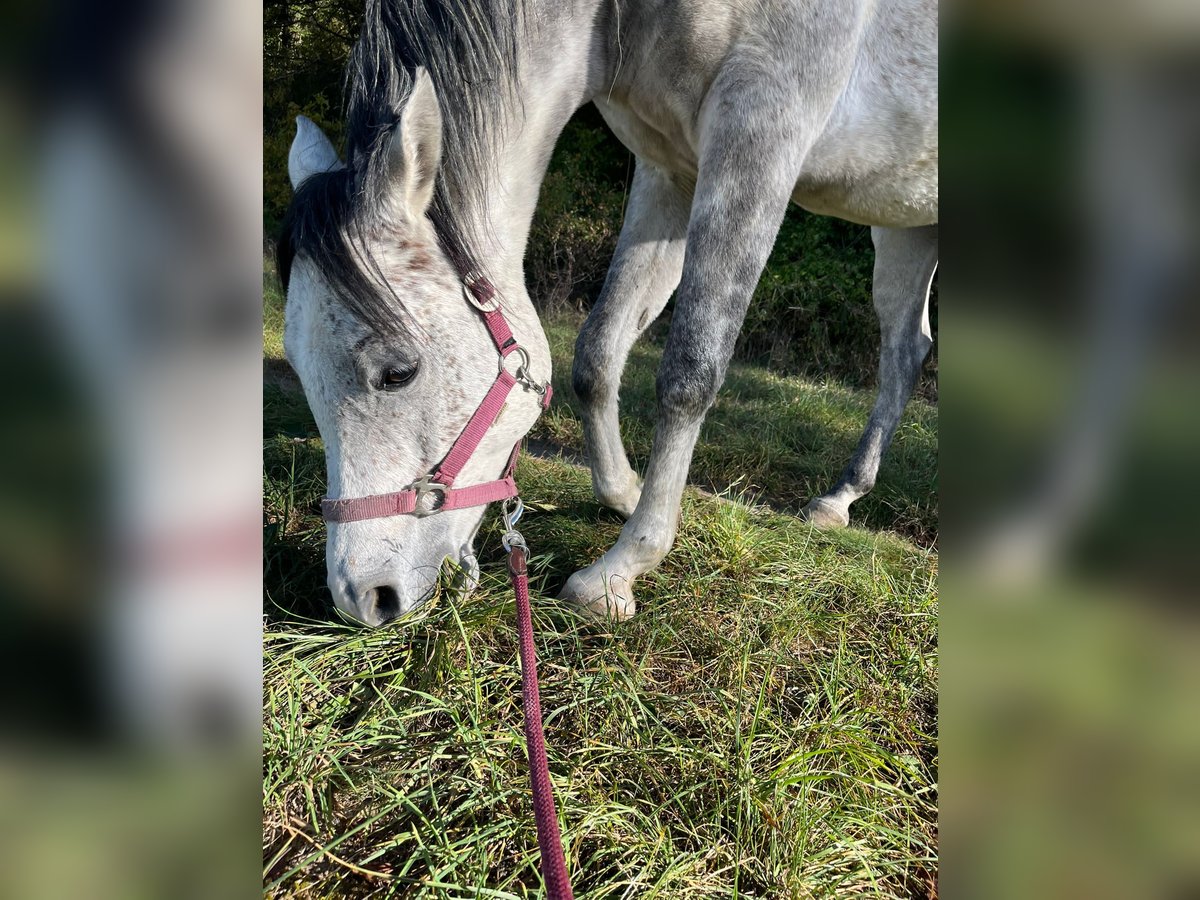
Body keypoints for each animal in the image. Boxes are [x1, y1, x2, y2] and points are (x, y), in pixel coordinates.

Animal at [278, 0, 936, 624]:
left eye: (397, 373)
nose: (362, 597)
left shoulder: (760, 137)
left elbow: (689, 375)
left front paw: (620, 569)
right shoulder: (670, 166)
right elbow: (599, 352)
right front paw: (622, 493)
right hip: (904, 227)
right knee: (907, 350)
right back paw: (840, 498)